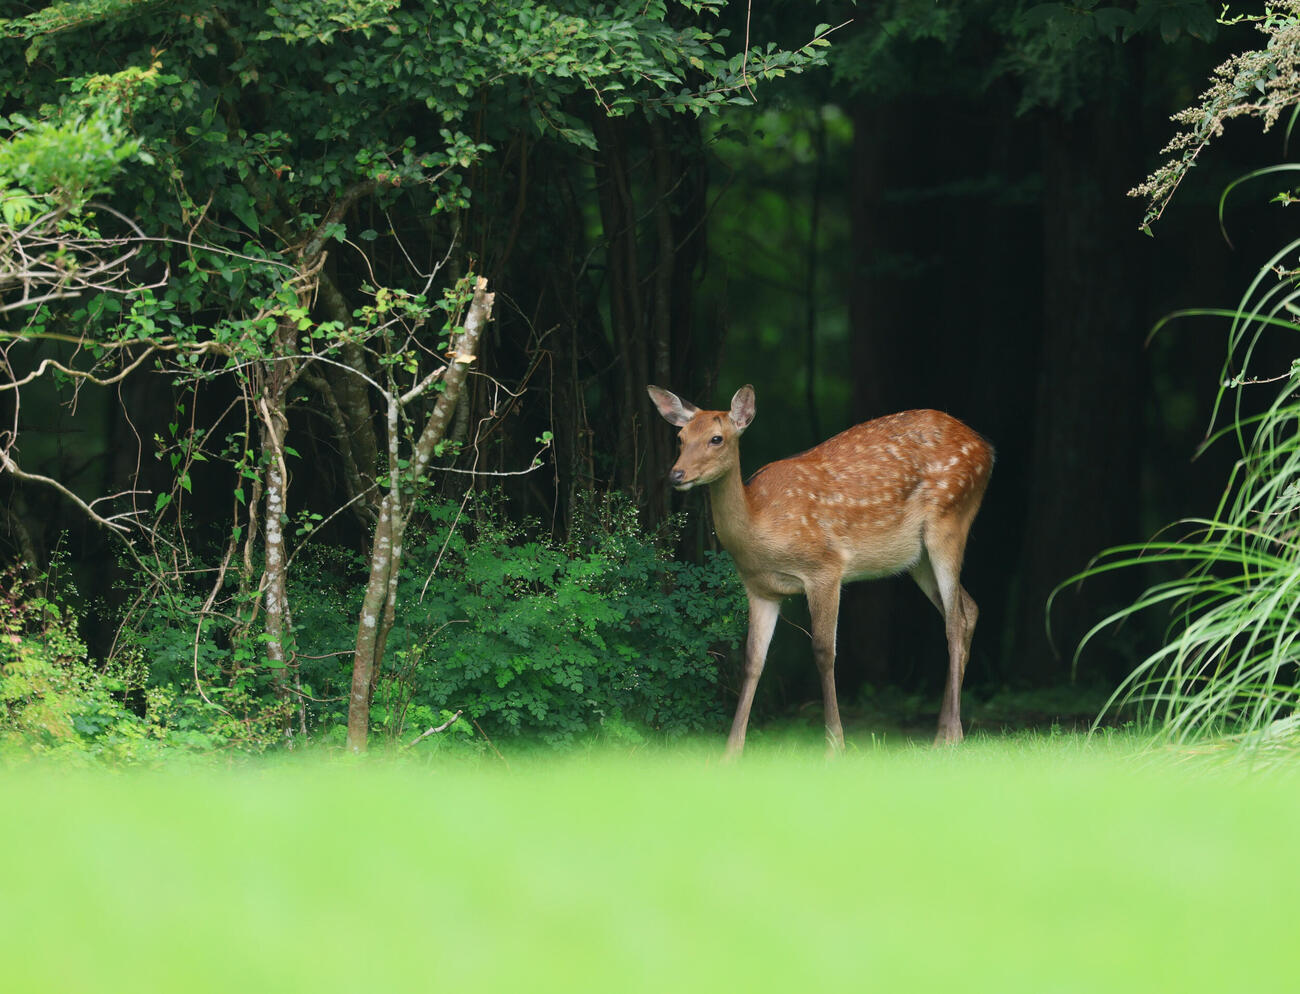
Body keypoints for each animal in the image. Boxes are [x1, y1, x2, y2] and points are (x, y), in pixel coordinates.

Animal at [647, 384, 993, 757]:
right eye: (681, 437)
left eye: (716, 438)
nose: (676, 475)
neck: (760, 521)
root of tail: (985, 448)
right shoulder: (759, 588)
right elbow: (753, 660)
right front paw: (731, 752)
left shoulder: (825, 568)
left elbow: (824, 652)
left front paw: (835, 746)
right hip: (917, 559)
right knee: (969, 608)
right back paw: (944, 732)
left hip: (950, 520)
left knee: (954, 621)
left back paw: (951, 736)